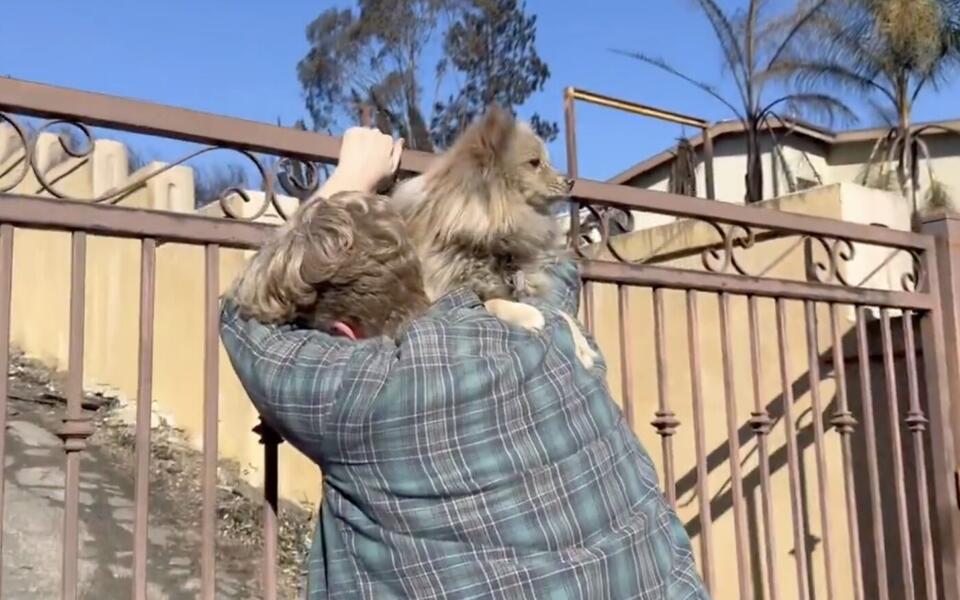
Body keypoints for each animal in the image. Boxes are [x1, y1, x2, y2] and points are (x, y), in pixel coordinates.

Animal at [388, 108, 592, 368]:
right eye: (535, 163)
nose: (571, 181)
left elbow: (561, 314)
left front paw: (583, 347)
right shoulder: (442, 295)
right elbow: (490, 303)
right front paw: (528, 314)